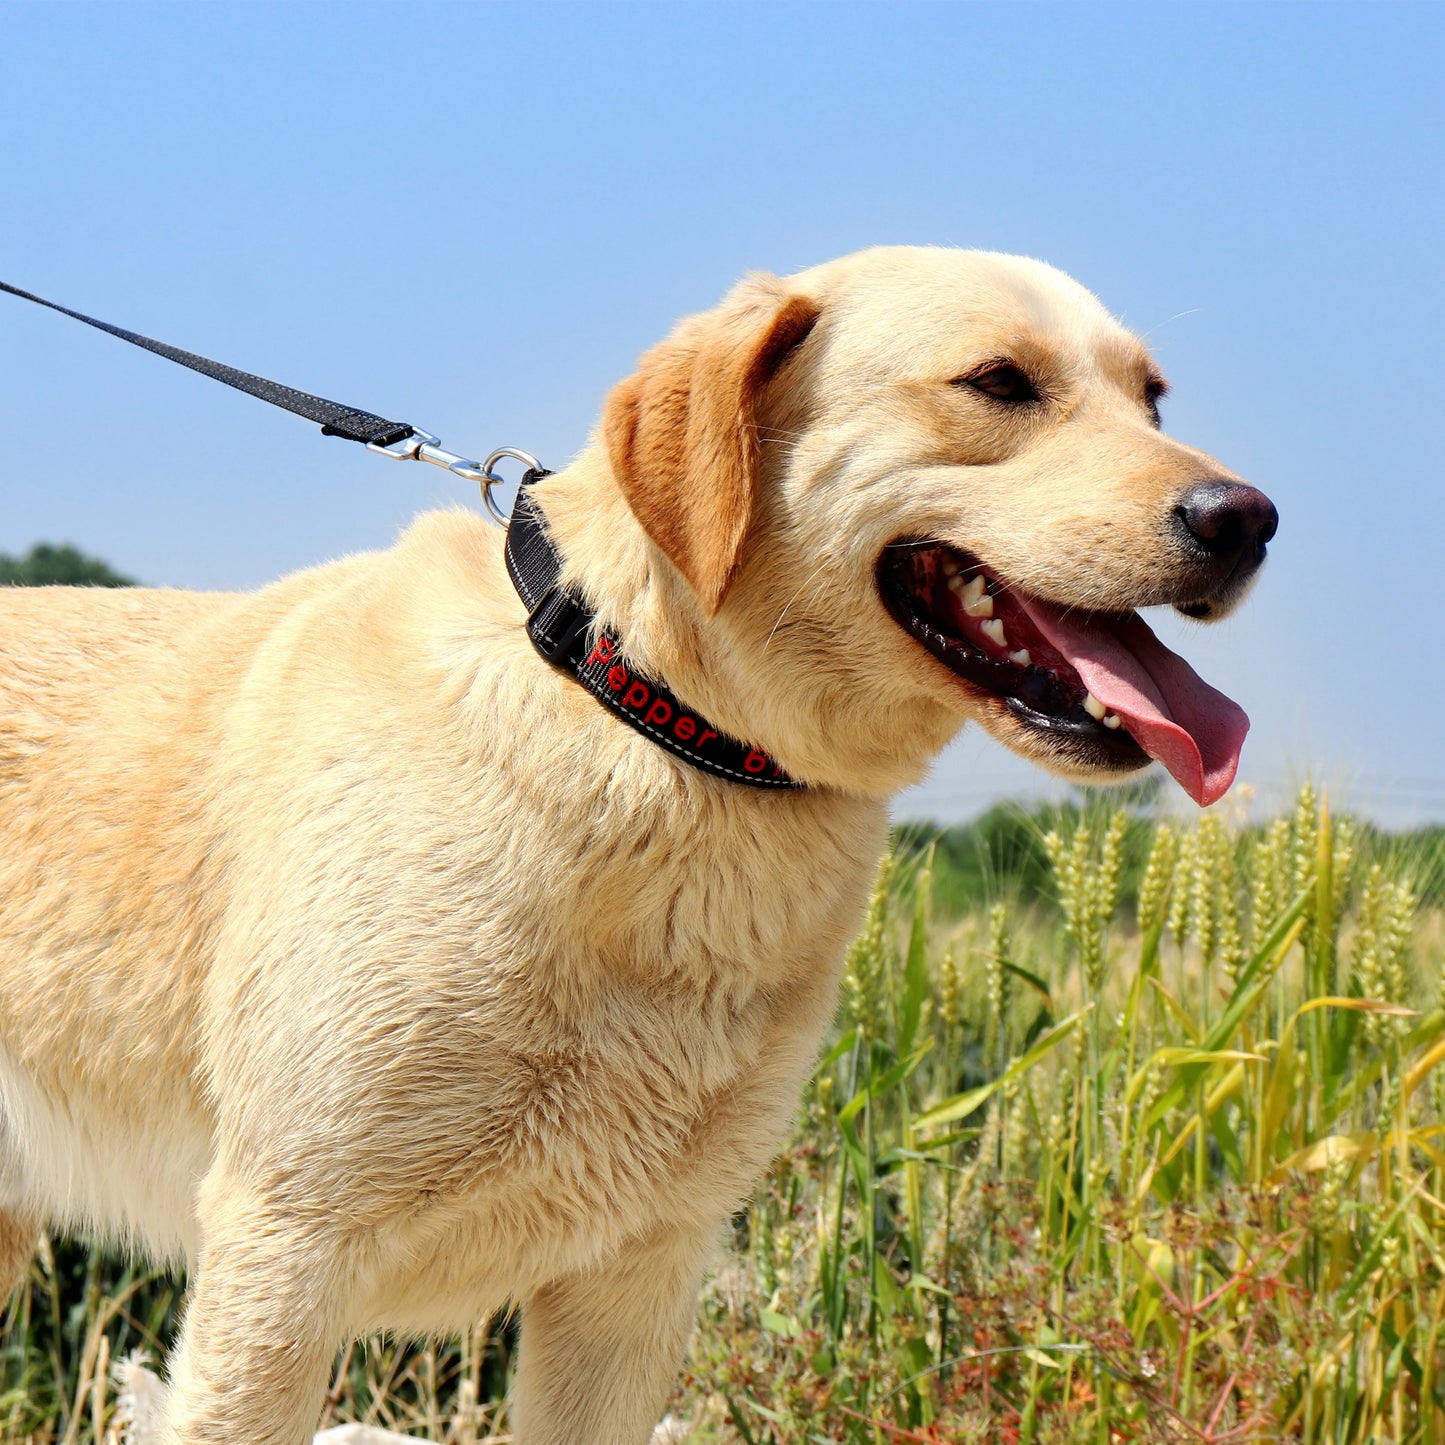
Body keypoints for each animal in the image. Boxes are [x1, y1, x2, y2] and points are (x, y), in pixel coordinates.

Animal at [0, 242, 1277, 1439]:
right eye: (1000, 381)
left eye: (1152, 397)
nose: (1247, 520)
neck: (647, 718)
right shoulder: (282, 1247)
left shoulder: (637, 1275)